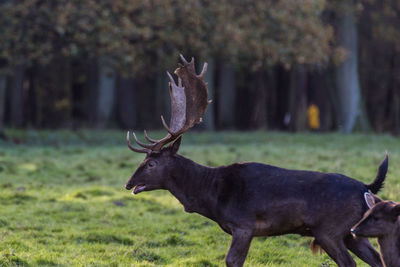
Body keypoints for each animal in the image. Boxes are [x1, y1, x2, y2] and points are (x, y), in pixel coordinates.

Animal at [124, 55, 388, 267]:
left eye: (151, 164)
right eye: (145, 159)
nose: (128, 184)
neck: (212, 196)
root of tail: (367, 188)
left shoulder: (244, 225)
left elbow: (232, 261)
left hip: (329, 230)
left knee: (350, 262)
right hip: (351, 232)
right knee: (376, 259)